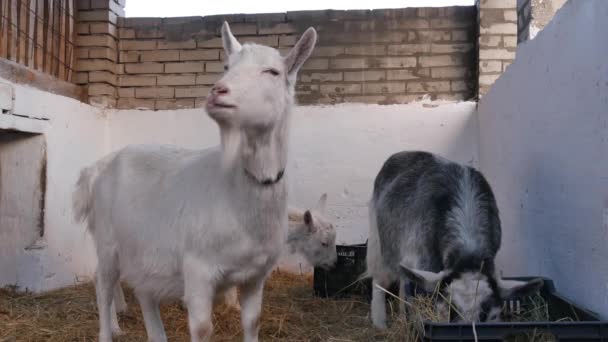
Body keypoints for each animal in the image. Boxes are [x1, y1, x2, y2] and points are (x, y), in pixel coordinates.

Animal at [73, 22, 316, 342]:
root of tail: (98, 169)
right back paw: (109, 330)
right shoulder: (198, 270)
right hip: (106, 240)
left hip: (141, 249)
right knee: (103, 286)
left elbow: (253, 321)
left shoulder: (255, 275)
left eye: (273, 72)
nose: (217, 91)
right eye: (226, 66)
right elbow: (202, 328)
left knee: (143, 291)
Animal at [366, 152, 540, 328]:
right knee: (379, 278)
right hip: (378, 240)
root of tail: (403, 153)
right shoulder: (425, 261)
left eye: (490, 315)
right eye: (448, 311)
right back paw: (380, 322)